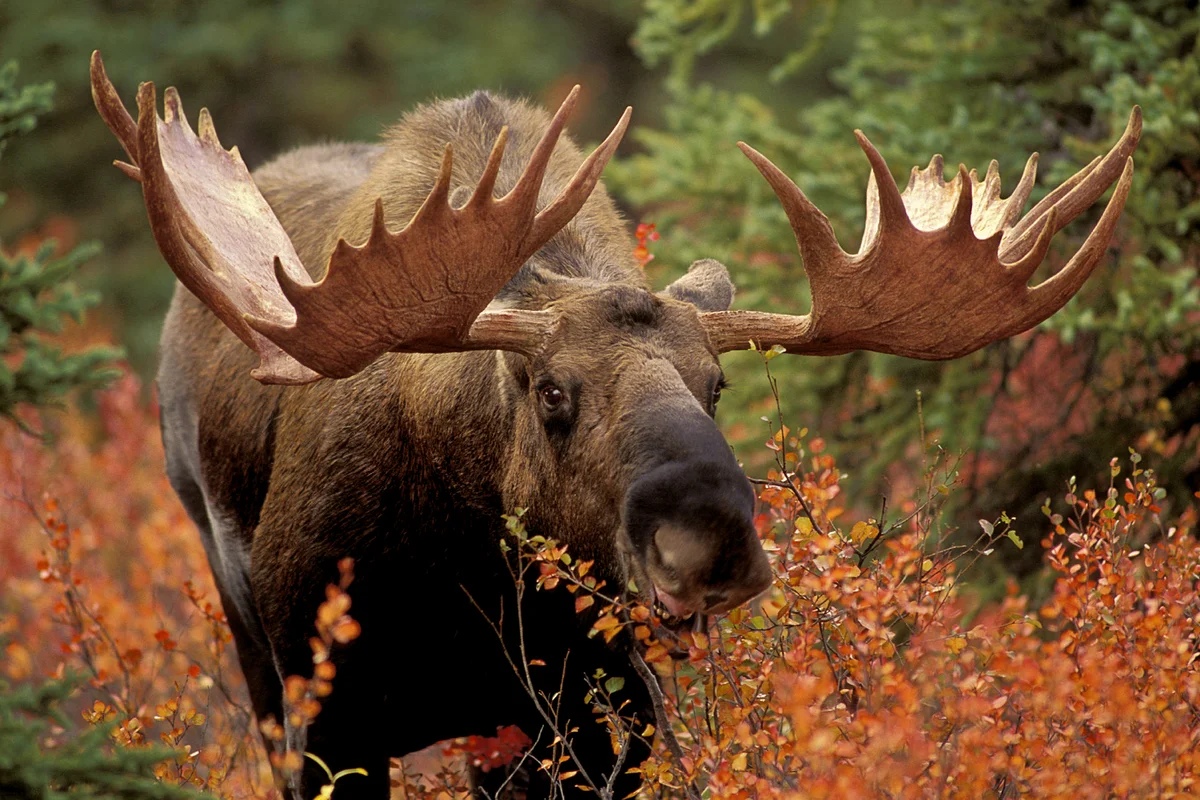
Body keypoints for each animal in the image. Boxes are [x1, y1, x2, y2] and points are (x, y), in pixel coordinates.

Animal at [88, 53, 1137, 796]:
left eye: (717, 383)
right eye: (551, 390)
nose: (709, 541)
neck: (472, 575)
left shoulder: (602, 719)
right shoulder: (328, 715)